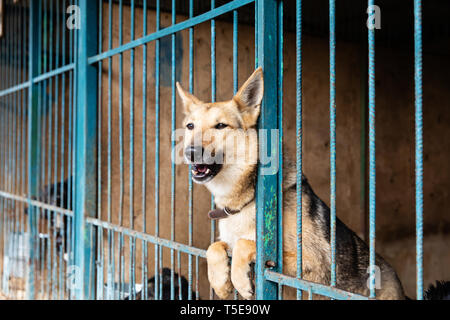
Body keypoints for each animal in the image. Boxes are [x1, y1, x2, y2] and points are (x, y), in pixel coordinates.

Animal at [178, 67, 406, 300]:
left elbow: (247, 244)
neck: (245, 201)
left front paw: (239, 279)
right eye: (190, 126)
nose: (190, 152)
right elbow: (214, 247)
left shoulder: (314, 266)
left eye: (221, 126)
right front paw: (221, 283)